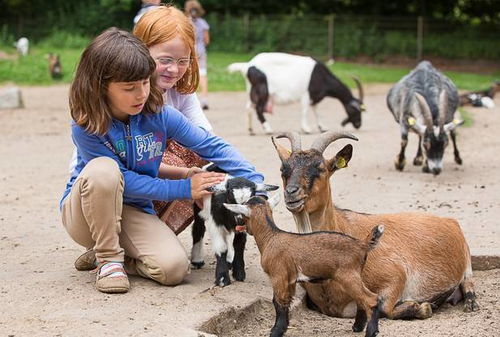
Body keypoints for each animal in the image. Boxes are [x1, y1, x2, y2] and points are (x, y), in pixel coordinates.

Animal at [225, 193, 384, 336]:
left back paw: (371, 332)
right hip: (355, 275)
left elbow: (278, 302)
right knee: (362, 300)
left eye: (243, 215)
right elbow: (287, 302)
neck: (270, 237)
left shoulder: (278, 275)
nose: (238, 222)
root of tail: (361, 244)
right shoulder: (290, 279)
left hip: (348, 276)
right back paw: (357, 327)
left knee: (372, 299)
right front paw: (283, 328)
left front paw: (275, 332)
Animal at [229, 51, 366, 135]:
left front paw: (322, 127)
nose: (358, 124)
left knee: (249, 108)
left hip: (252, 91)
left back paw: (251, 130)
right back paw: (268, 129)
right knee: (258, 108)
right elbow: (304, 111)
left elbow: (317, 112)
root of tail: (248, 66)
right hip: (263, 90)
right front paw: (306, 129)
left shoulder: (315, 97)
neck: (321, 76)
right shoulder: (306, 95)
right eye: (356, 110)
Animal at [274, 131, 480, 320]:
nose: (291, 193)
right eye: (284, 169)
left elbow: (384, 307)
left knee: (469, 282)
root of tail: (449, 221)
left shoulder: (395, 274)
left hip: (466, 260)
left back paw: (470, 303)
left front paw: (424, 306)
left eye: (321, 168)